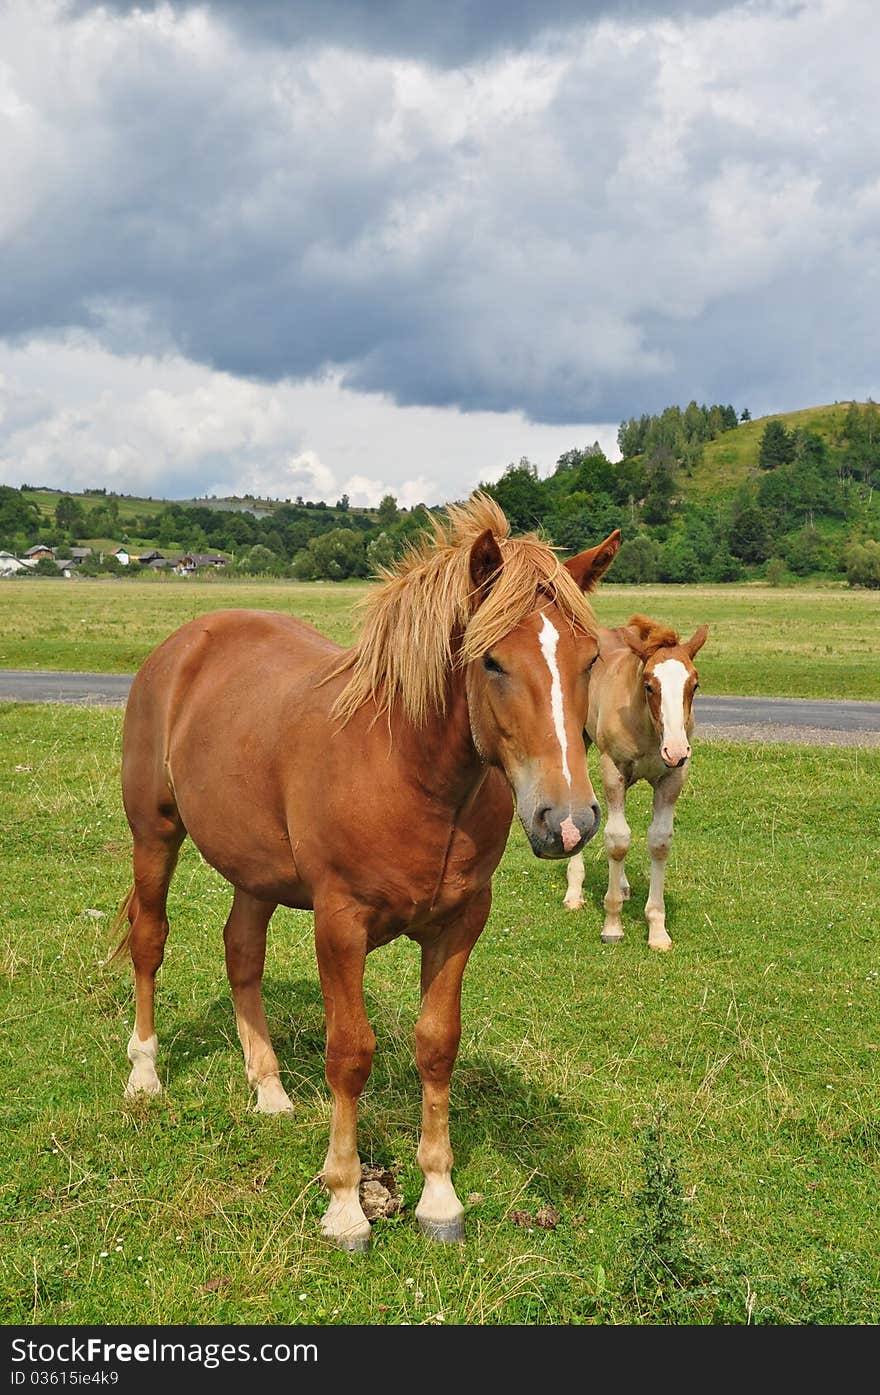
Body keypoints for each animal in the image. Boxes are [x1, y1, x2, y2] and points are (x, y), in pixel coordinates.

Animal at [113, 499, 621, 1255]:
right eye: (493, 661)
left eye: (589, 659)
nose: (568, 820)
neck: (408, 770)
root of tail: (184, 645)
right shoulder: (340, 924)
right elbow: (350, 1053)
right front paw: (345, 1204)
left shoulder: (459, 924)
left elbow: (436, 1046)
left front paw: (439, 1198)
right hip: (155, 834)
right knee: (150, 940)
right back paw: (144, 1073)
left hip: (254, 871)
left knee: (242, 953)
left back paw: (269, 1089)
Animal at [563, 619, 708, 954]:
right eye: (649, 685)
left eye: (694, 685)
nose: (677, 750)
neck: (649, 729)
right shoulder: (612, 768)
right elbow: (617, 840)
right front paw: (612, 925)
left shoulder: (672, 778)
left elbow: (658, 842)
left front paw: (657, 930)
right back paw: (574, 893)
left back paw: (624, 884)